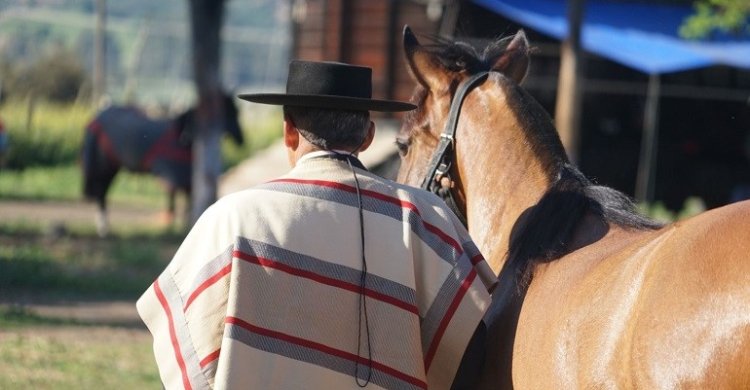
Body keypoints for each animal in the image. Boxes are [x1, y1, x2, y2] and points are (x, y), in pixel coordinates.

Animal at [81, 93, 244, 236]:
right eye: (230, 113)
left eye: (236, 112)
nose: (241, 139)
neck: (183, 138)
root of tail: (95, 120)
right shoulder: (172, 174)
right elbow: (172, 199)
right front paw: (171, 225)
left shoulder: (186, 178)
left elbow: (187, 202)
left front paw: (185, 224)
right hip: (104, 168)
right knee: (101, 193)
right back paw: (103, 227)